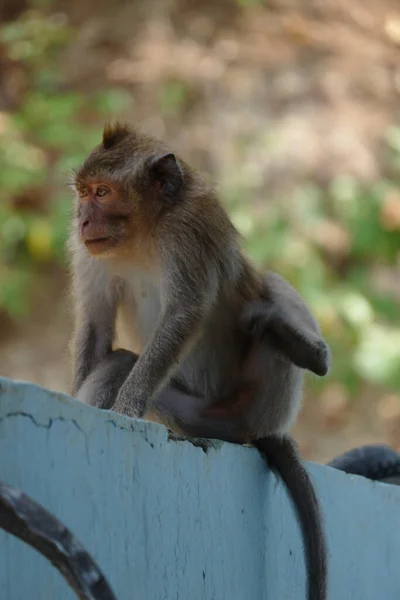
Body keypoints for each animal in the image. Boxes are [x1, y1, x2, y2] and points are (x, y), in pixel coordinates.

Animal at [69, 122, 332, 600]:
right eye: (82, 193)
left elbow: (184, 314)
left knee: (265, 287)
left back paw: (304, 348)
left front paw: (126, 410)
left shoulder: (188, 230)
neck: (145, 233)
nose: (82, 219)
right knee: (120, 362)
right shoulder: (87, 251)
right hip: (192, 414)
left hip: (262, 400)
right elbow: (96, 328)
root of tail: (251, 429)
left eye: (102, 192)